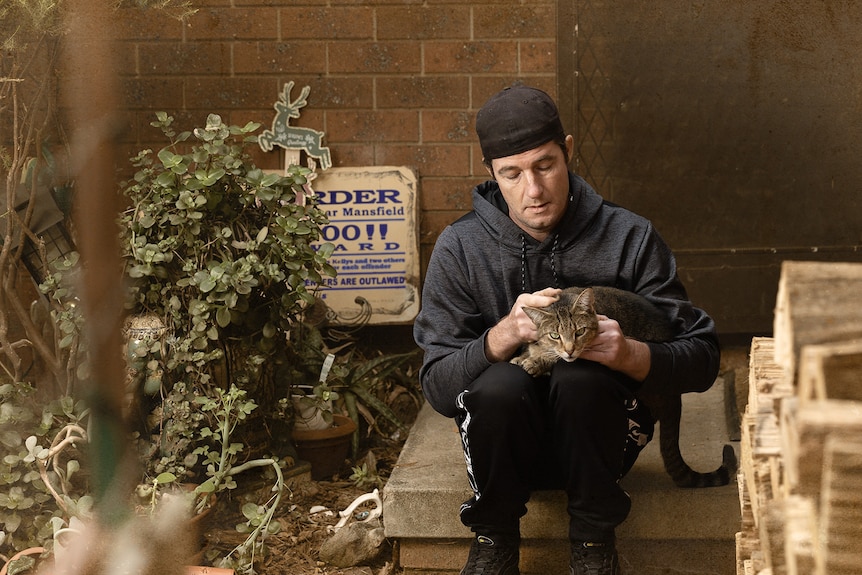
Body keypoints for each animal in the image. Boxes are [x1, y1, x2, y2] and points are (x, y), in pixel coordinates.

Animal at [510, 286, 740, 488]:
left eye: (580, 332)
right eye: (555, 335)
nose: (570, 350)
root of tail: (675, 396)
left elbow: (554, 359)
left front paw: (535, 362)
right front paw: (523, 356)